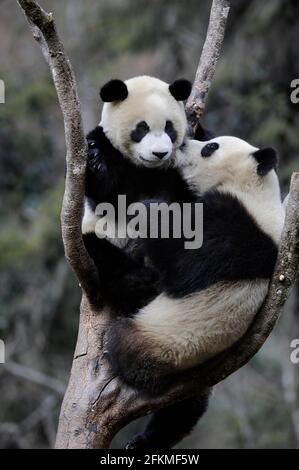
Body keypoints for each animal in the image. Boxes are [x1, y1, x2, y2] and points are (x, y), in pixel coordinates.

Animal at [83, 135, 284, 448]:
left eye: (210, 147)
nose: (183, 144)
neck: (255, 191)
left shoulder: (238, 225)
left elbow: (183, 263)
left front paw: (152, 212)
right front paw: (98, 158)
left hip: (154, 342)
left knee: (126, 319)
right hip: (192, 377)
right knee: (184, 410)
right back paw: (144, 441)